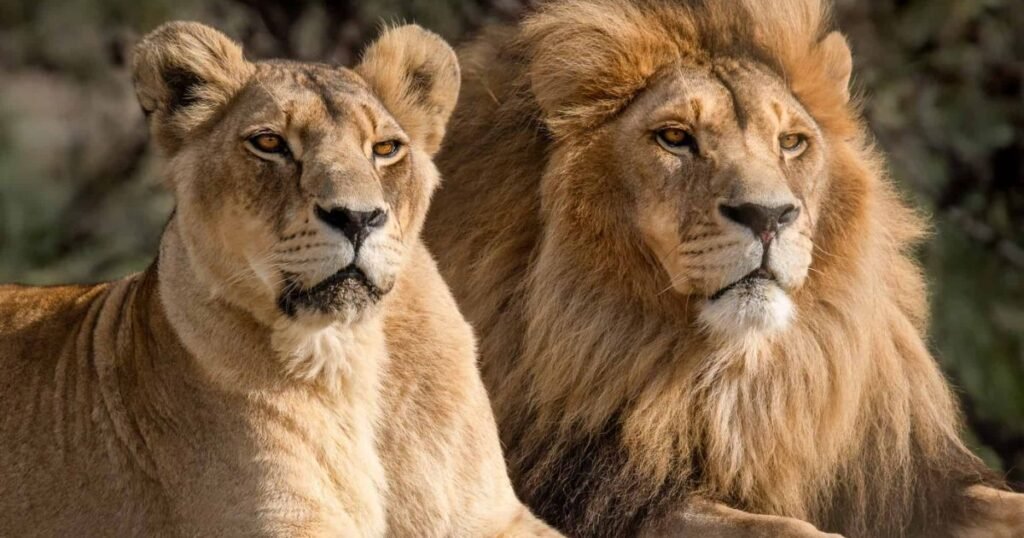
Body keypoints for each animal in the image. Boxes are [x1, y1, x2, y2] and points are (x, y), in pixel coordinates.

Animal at [0, 21, 560, 537]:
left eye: (385, 148)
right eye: (269, 143)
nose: (358, 218)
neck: (349, 355)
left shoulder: (492, 515)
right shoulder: (281, 522)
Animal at [424, 0, 1024, 536]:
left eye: (791, 143)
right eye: (674, 138)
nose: (768, 215)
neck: (738, 375)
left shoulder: (905, 481)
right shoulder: (599, 492)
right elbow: (782, 530)